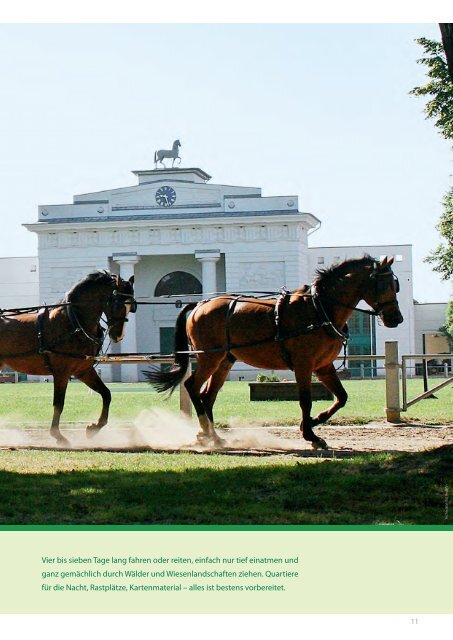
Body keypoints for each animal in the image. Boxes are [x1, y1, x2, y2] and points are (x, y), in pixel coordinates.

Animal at [0, 270, 135, 444]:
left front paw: (94, 428)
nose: (118, 335)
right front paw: (58, 435)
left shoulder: (83, 371)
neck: (74, 322)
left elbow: (106, 394)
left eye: (132, 306)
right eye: (118, 304)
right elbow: (59, 403)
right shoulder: (61, 372)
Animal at [147, 256, 402, 450]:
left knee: (208, 396)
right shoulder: (303, 365)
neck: (319, 309)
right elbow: (305, 400)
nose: (396, 318)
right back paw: (205, 432)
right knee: (192, 386)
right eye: (385, 284)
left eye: (396, 284)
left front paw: (315, 422)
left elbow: (341, 397)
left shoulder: (323, 366)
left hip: (224, 361)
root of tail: (199, 304)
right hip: (210, 357)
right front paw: (310, 434)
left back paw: (213, 435)